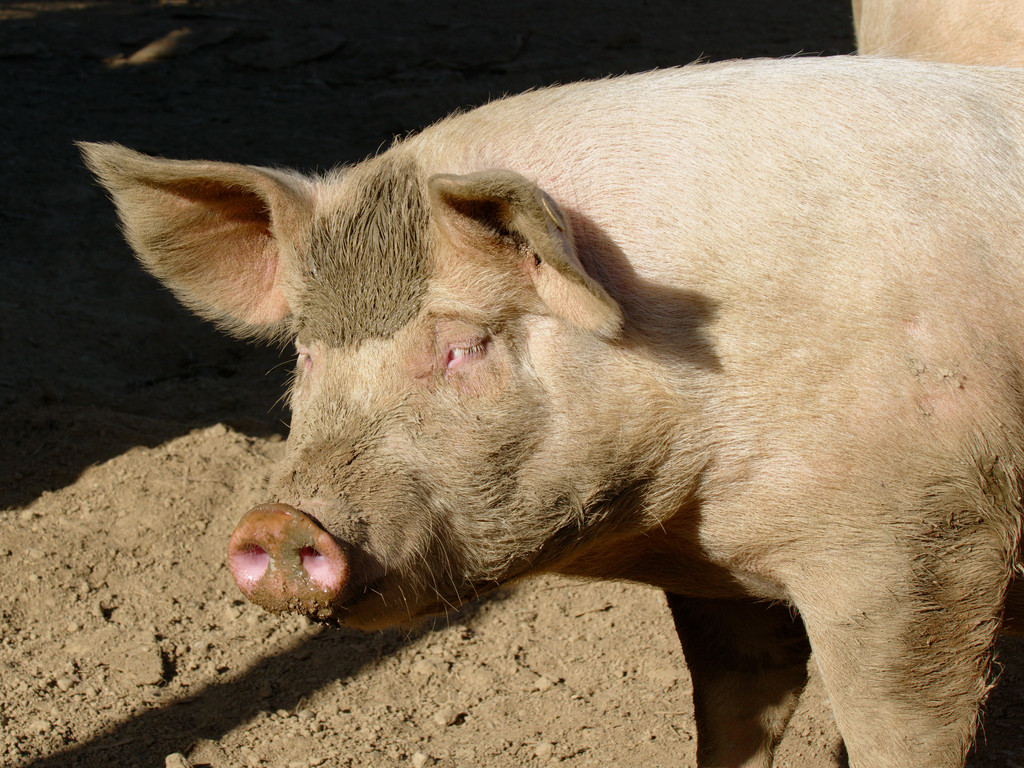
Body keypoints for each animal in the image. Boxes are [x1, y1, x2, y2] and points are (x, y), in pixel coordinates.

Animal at [81, 55, 1024, 768]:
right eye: (309, 352)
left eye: (465, 345)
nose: (280, 522)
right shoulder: (721, 578)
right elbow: (732, 716)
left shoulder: (924, 545)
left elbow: (901, 732)